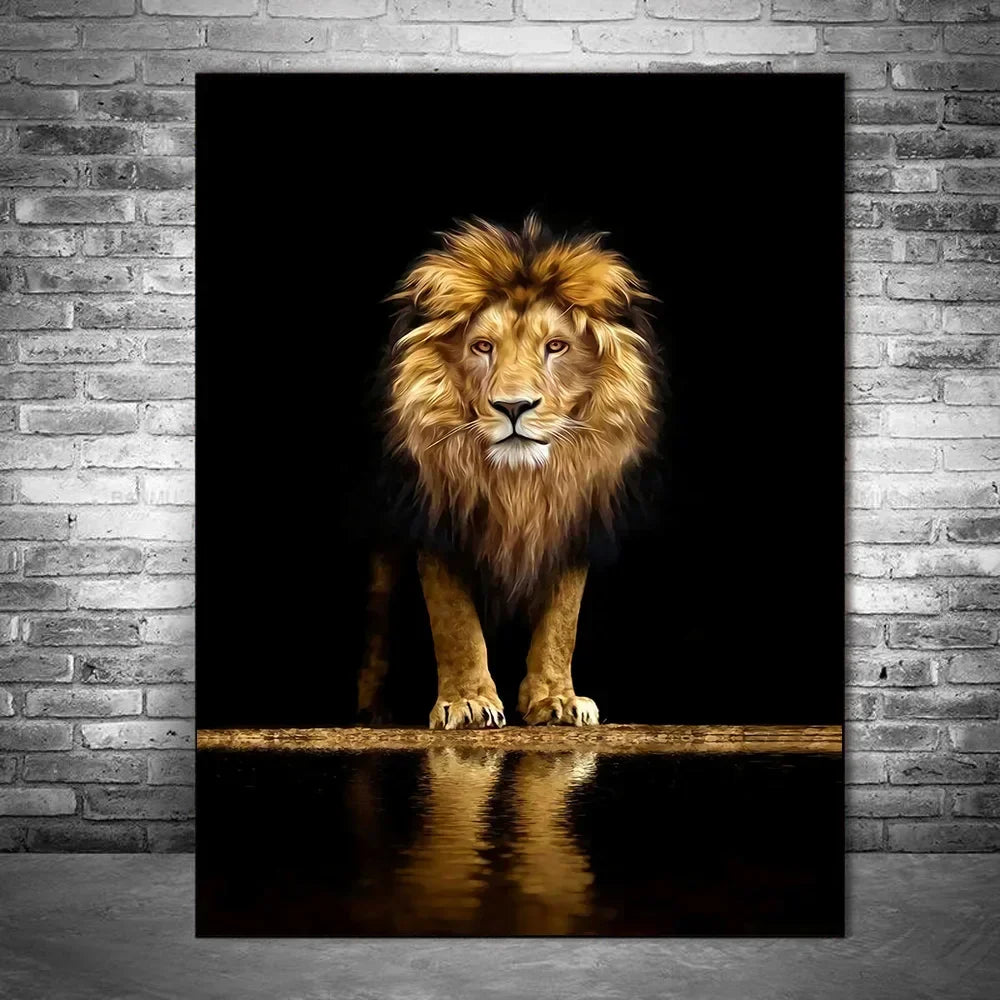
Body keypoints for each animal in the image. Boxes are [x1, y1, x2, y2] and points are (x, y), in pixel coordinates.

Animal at [358, 214, 662, 730]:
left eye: (556, 346)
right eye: (482, 346)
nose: (514, 406)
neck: (518, 484)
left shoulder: (570, 521)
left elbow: (562, 622)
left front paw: (556, 699)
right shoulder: (438, 523)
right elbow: (454, 621)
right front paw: (466, 701)